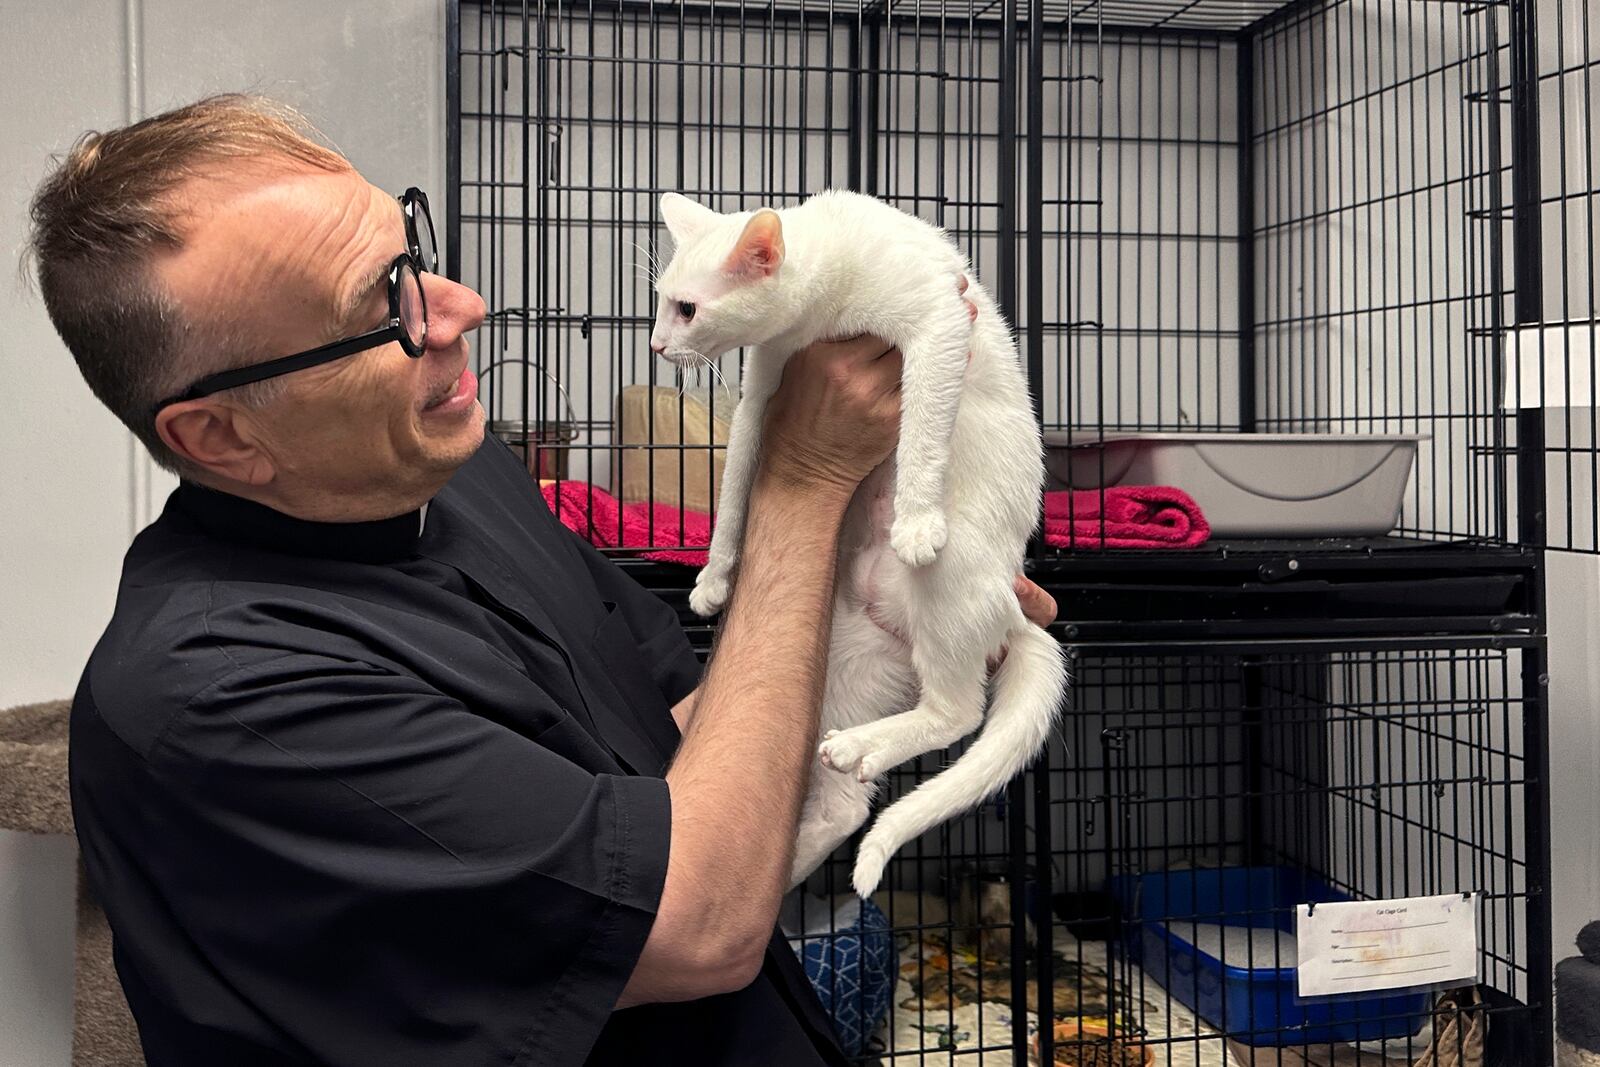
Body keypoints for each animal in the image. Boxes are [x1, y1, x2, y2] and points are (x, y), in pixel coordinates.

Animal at [643, 187, 1068, 895]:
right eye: (662, 302)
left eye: (687, 309)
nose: (653, 345)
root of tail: (1010, 614)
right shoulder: (762, 396)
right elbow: (733, 495)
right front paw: (714, 578)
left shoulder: (939, 322)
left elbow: (924, 423)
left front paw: (917, 519)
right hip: (847, 663)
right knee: (846, 804)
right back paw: (795, 852)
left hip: (949, 586)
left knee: (959, 712)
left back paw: (858, 745)